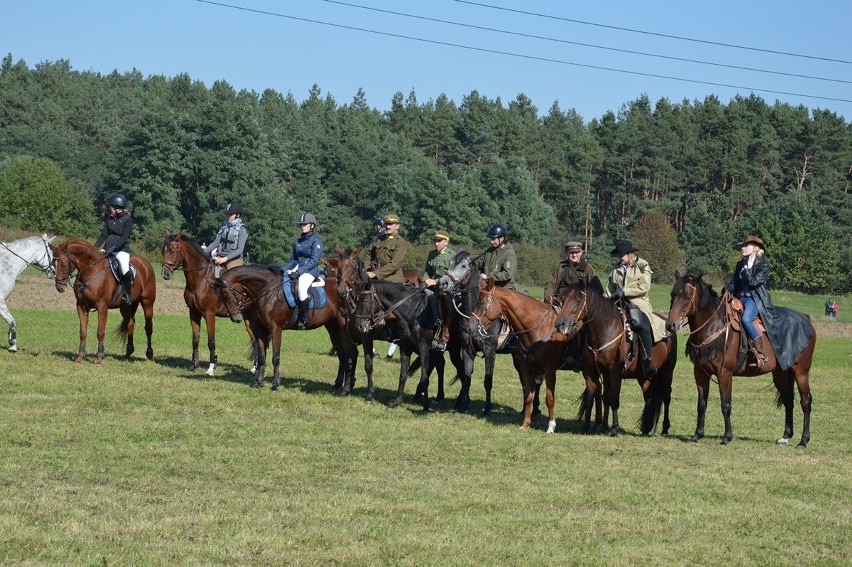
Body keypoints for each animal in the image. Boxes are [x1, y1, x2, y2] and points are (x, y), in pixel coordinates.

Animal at [160, 231, 253, 378]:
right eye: (163, 250)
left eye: (173, 251)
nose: (165, 274)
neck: (202, 280)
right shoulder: (193, 314)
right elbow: (195, 340)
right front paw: (193, 365)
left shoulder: (209, 315)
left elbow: (211, 342)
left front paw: (211, 368)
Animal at [220, 266, 356, 390]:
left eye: (227, 294)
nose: (236, 318)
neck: (267, 291)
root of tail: (348, 289)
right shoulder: (259, 330)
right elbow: (262, 357)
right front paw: (258, 383)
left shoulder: (275, 329)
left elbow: (275, 357)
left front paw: (275, 384)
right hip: (333, 329)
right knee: (342, 354)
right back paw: (338, 384)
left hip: (343, 329)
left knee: (350, 353)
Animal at [552, 284, 680, 440]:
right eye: (562, 300)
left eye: (577, 301)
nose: (560, 324)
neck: (604, 330)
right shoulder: (591, 372)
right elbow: (592, 397)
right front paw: (587, 426)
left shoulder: (615, 372)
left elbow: (613, 398)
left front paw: (614, 428)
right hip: (642, 375)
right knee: (648, 395)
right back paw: (646, 427)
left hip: (667, 371)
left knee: (666, 397)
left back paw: (665, 429)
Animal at [664, 272, 812, 446]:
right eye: (672, 294)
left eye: (687, 296)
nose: (670, 325)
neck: (714, 327)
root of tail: (806, 319)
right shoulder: (700, 373)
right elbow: (701, 404)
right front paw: (697, 435)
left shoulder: (725, 373)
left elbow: (726, 405)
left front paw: (727, 436)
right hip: (780, 373)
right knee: (788, 399)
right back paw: (786, 436)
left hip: (801, 371)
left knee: (806, 401)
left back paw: (803, 440)